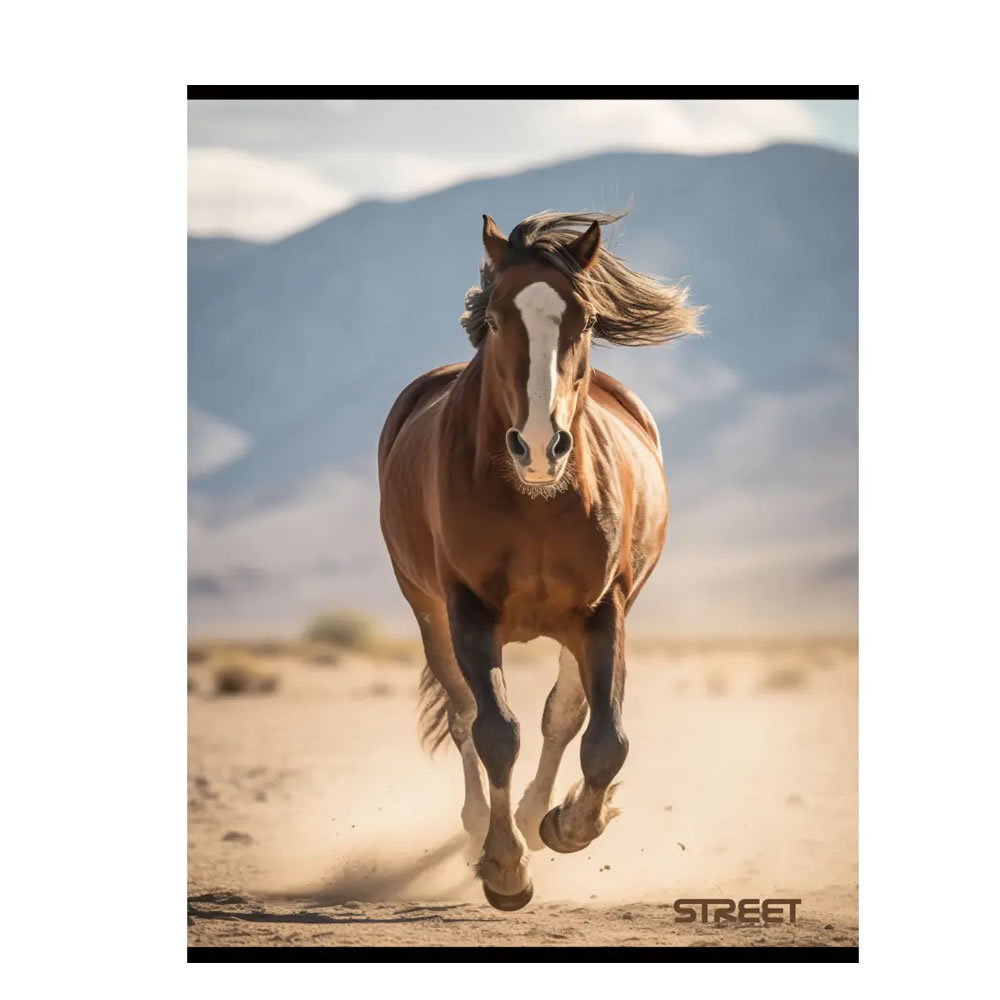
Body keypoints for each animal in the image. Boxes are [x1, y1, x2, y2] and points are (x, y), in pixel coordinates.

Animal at [377, 210, 702, 910]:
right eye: (498, 319)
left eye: (585, 319)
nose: (537, 447)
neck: (534, 501)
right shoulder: (467, 611)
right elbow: (496, 730)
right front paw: (505, 867)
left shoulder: (603, 611)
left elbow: (603, 739)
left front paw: (568, 823)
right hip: (426, 609)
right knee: (463, 716)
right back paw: (480, 828)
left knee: (563, 714)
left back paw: (533, 815)